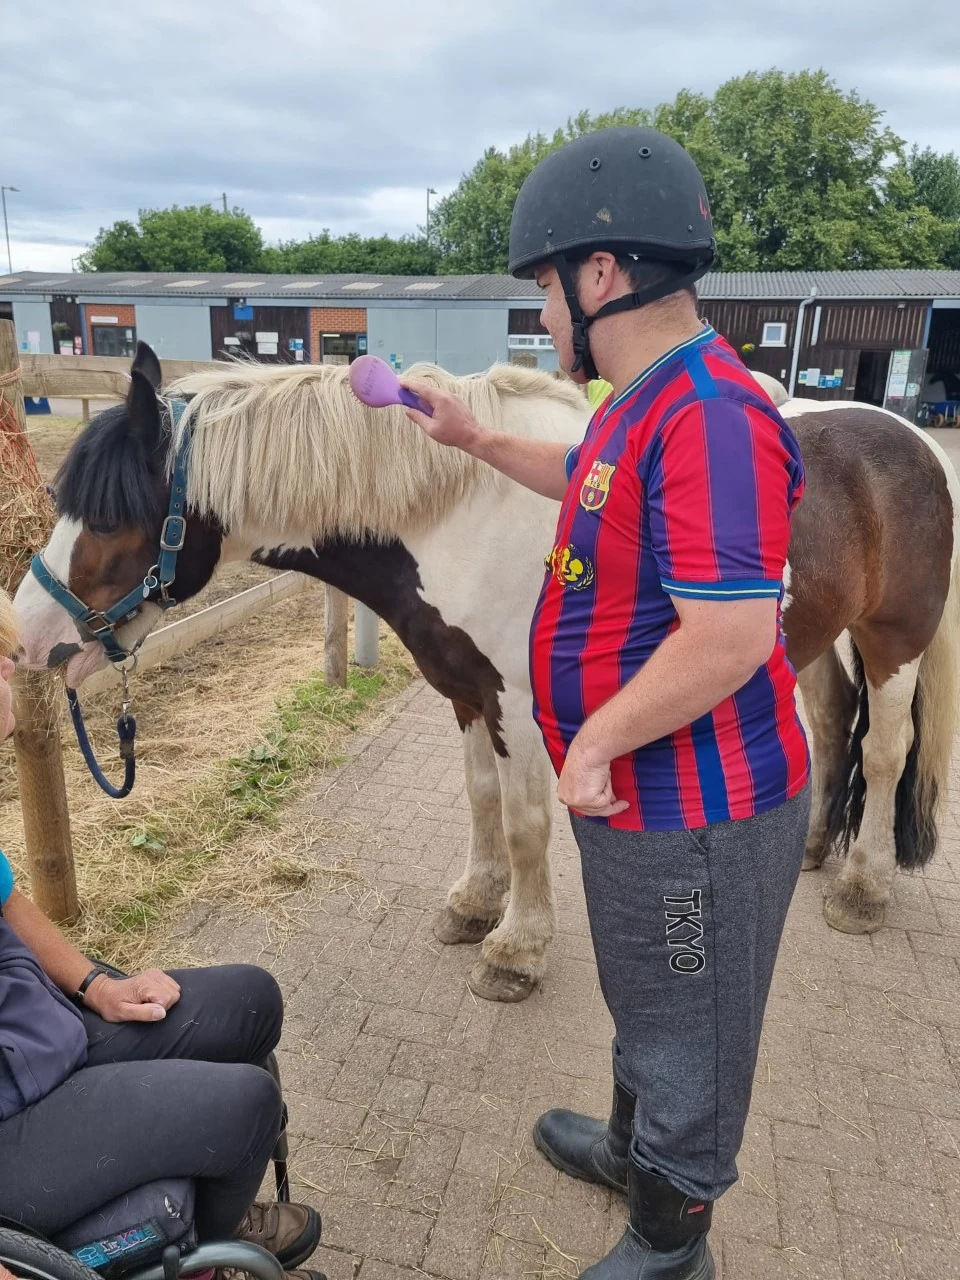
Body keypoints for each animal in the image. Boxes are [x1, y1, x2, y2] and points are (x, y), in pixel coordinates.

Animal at [13, 342, 960, 1004]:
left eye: (110, 515)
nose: (25, 638)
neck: (456, 510)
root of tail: (910, 437)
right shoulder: (465, 690)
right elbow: (479, 801)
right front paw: (475, 904)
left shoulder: (519, 704)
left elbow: (527, 823)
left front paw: (516, 949)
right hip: (818, 638)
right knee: (833, 728)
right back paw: (813, 850)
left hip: (893, 639)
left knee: (884, 753)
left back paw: (863, 889)